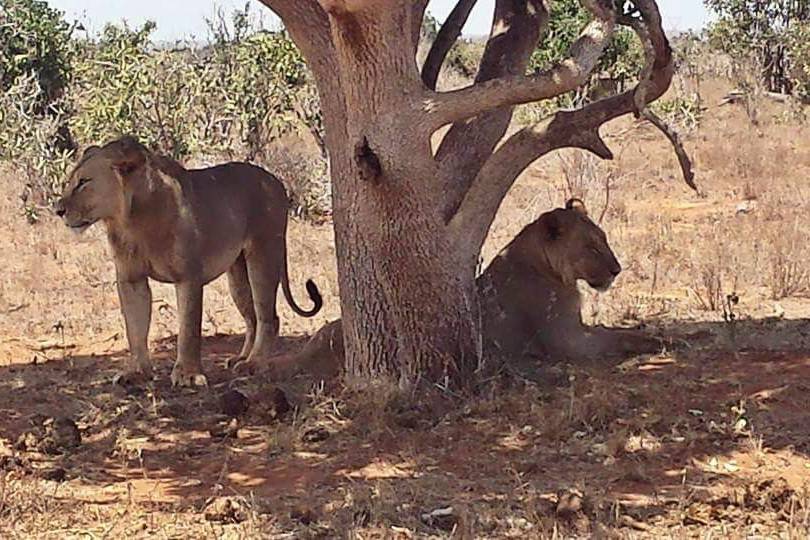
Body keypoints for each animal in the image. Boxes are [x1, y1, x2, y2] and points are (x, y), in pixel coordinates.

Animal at [262, 198, 660, 380]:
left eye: (604, 239)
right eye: (591, 246)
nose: (617, 269)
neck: (549, 267)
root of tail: (313, 347)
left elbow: (612, 329)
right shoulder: (568, 341)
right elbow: (615, 338)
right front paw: (651, 342)